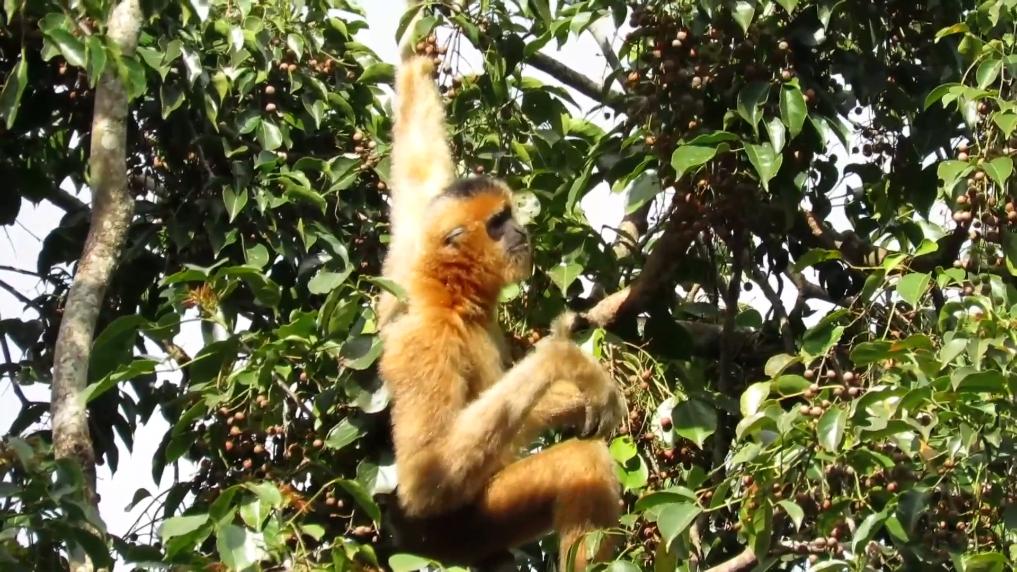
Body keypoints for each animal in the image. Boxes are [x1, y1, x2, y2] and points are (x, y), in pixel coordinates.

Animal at [375, 34, 627, 572]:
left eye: (509, 215)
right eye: (496, 223)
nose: (519, 230)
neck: (453, 300)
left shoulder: (404, 265)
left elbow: (419, 176)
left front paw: (414, 57)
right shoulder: (425, 341)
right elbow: (425, 477)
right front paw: (566, 361)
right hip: (463, 532)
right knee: (582, 461)